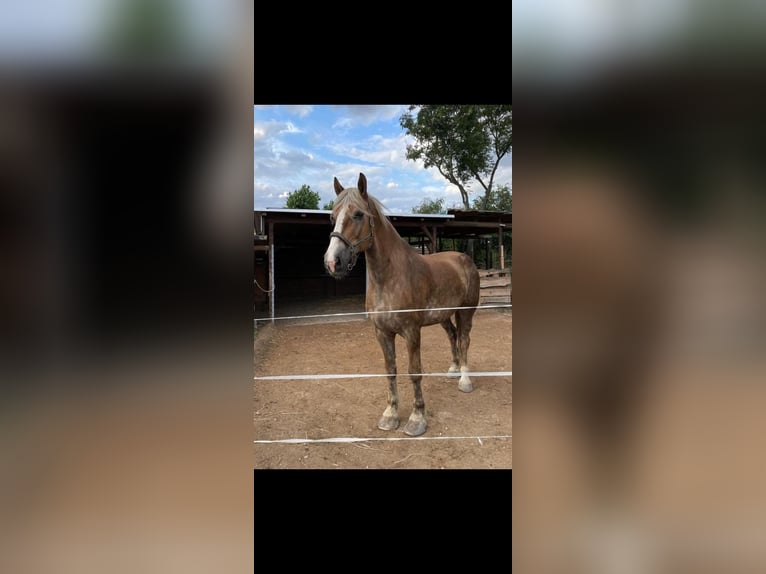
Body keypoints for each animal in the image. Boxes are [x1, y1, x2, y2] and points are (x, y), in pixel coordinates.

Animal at [324, 173, 480, 438]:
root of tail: (465, 259)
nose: (333, 262)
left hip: (466, 313)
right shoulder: (382, 332)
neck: (390, 277)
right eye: (333, 217)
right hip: (444, 316)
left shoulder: (411, 332)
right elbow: (390, 370)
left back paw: (464, 381)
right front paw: (390, 415)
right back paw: (452, 370)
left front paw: (417, 419)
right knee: (452, 336)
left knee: (464, 340)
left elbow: (414, 371)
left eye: (358, 214)